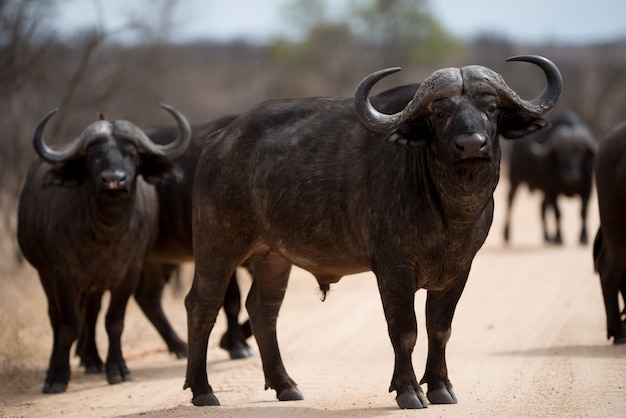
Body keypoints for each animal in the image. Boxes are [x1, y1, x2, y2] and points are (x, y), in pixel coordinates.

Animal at [18, 103, 191, 392]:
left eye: (131, 154)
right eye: (92, 156)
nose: (113, 180)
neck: (106, 233)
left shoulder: (128, 273)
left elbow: (114, 321)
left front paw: (117, 369)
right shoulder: (62, 274)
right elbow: (66, 325)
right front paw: (57, 377)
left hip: (97, 284)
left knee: (92, 313)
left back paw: (93, 360)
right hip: (46, 274)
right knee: (56, 316)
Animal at [502, 109, 596, 245]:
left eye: (580, 153)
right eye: (561, 153)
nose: (570, 176)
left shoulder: (587, 189)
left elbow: (583, 212)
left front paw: (584, 237)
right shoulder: (552, 190)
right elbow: (558, 213)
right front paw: (559, 238)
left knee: (542, 208)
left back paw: (547, 236)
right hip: (515, 178)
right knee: (510, 201)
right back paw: (506, 234)